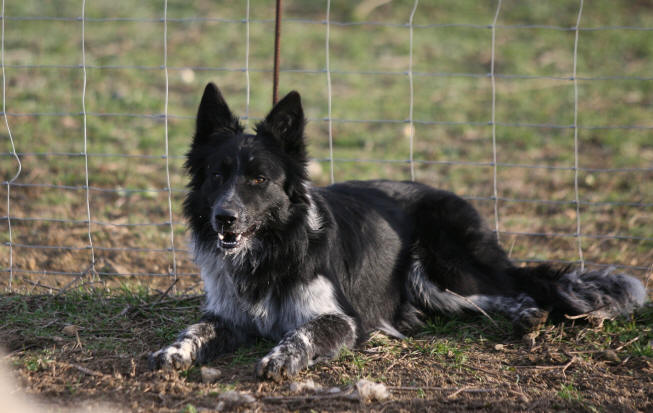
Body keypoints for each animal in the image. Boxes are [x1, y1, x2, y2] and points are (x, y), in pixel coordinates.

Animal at [149, 83, 648, 380]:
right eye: (218, 175)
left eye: (258, 179)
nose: (224, 218)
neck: (272, 248)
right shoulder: (227, 315)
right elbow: (194, 329)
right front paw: (173, 352)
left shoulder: (341, 319)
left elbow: (300, 335)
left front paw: (279, 358)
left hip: (434, 268)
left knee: (507, 290)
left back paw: (527, 316)